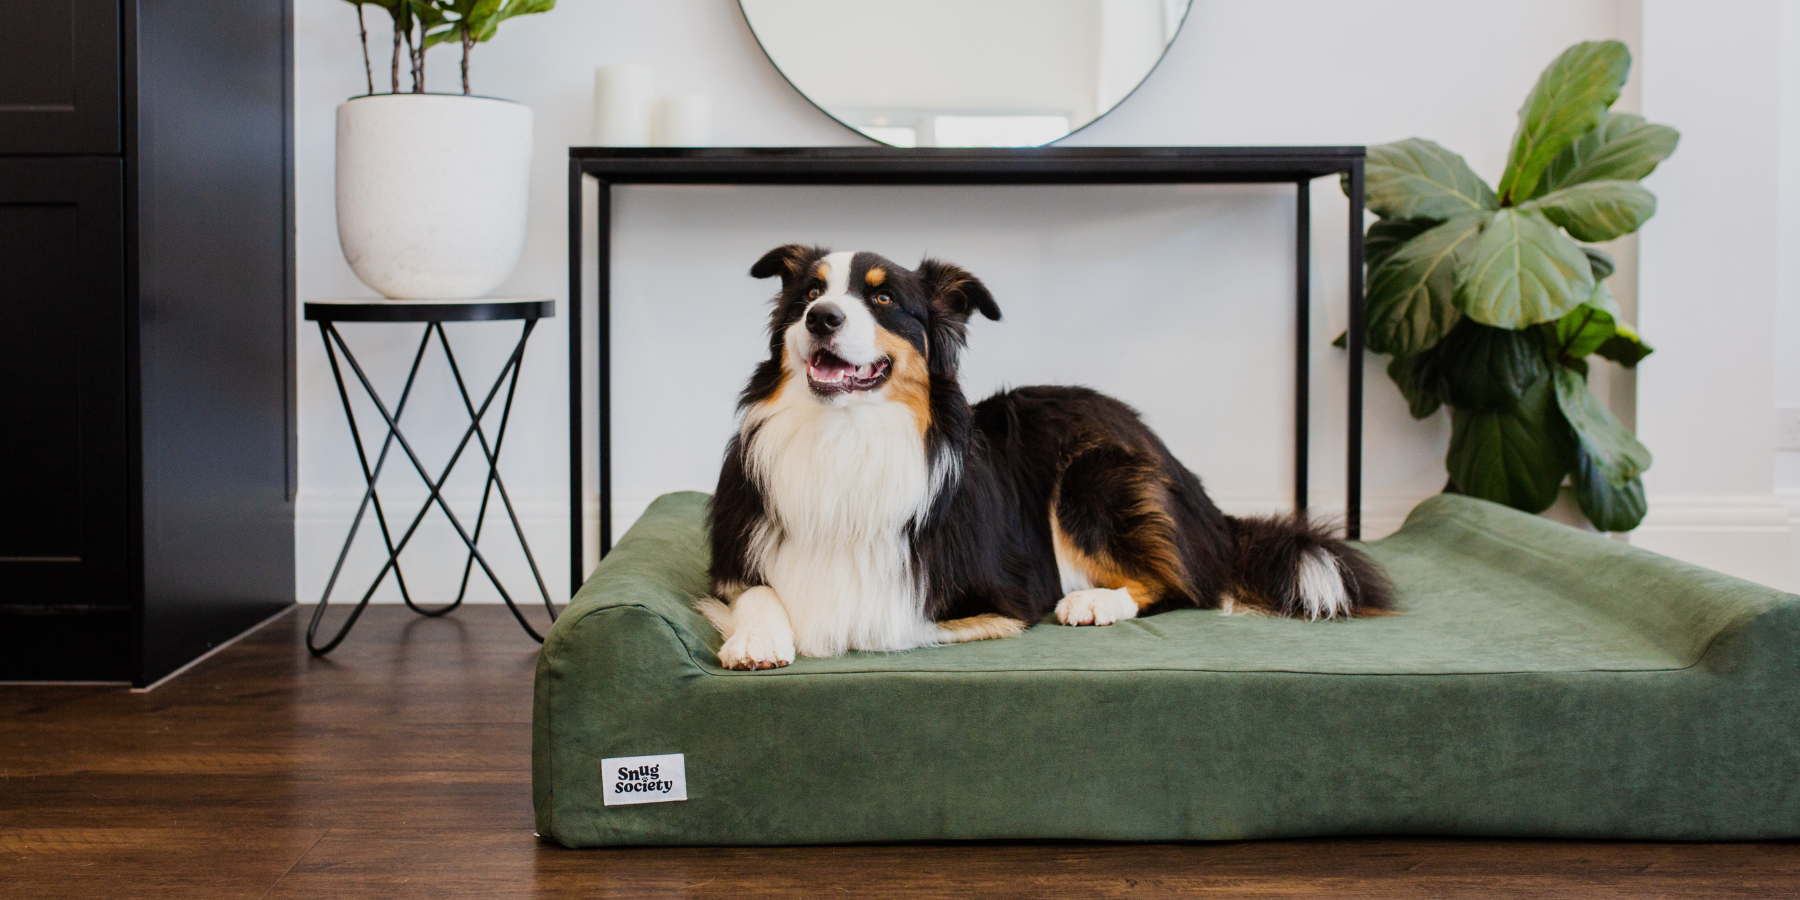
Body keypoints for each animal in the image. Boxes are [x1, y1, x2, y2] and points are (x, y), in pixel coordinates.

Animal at [698, 246, 1389, 669]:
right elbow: (757, 591)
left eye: (884, 300)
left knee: (1188, 584)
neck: (845, 436)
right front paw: (757, 638)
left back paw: (1095, 602)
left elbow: (878, 618)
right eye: (809, 294)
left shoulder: (1001, 597)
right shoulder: (736, 563)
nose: (821, 317)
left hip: (1092, 478)